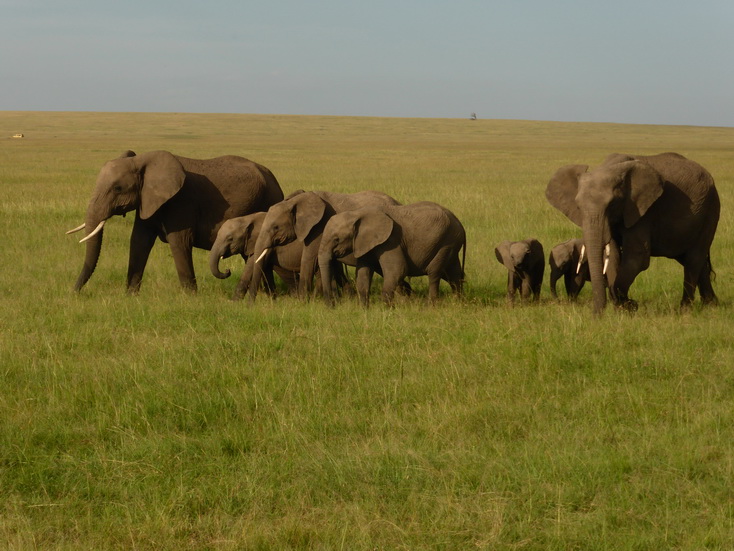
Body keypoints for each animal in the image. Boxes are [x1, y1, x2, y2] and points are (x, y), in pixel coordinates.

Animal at [67, 147, 284, 294]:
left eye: (117, 188)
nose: (74, 292)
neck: (141, 161)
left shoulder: (181, 201)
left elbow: (179, 242)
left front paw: (191, 299)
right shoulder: (148, 200)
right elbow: (139, 241)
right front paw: (130, 296)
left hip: (269, 199)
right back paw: (267, 295)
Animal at [242, 190, 402, 302]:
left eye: (276, 227)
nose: (250, 304)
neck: (296, 201)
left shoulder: (320, 227)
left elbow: (309, 259)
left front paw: (303, 302)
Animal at [318, 202, 466, 306]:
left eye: (337, 239)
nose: (332, 305)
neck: (357, 214)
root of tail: (460, 224)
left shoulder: (391, 240)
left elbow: (398, 270)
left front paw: (385, 309)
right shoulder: (364, 242)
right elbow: (363, 273)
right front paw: (364, 309)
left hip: (447, 241)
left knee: (434, 272)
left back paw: (431, 305)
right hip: (451, 242)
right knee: (453, 274)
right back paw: (458, 303)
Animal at [548, 153, 720, 312]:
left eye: (612, 204)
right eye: (578, 206)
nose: (597, 316)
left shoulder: (642, 210)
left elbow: (637, 256)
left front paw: (629, 305)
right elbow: (613, 255)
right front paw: (621, 309)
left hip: (710, 209)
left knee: (693, 258)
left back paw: (685, 310)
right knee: (692, 259)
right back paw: (711, 306)